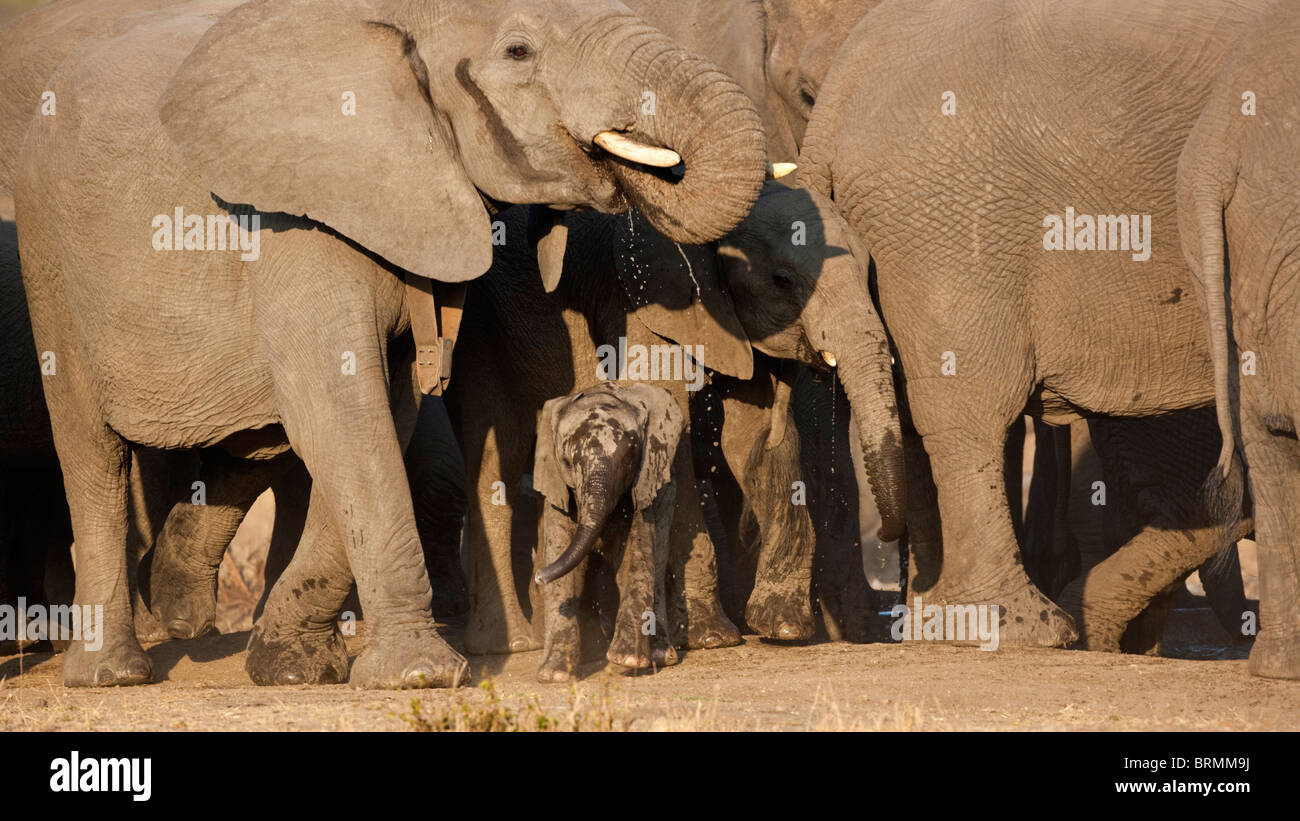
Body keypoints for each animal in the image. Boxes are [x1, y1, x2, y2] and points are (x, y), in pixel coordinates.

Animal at [533, 381, 686, 680]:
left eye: (628, 463)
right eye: (567, 462)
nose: (538, 577)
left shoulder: (643, 483)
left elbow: (638, 554)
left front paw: (626, 660)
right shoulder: (556, 490)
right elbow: (559, 549)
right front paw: (554, 675)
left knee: (658, 560)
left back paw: (660, 656)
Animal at [795, 0, 1263, 646]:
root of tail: (838, 97)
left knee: (915, 412)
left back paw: (939, 622)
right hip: (950, 218)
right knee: (966, 409)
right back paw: (1019, 628)